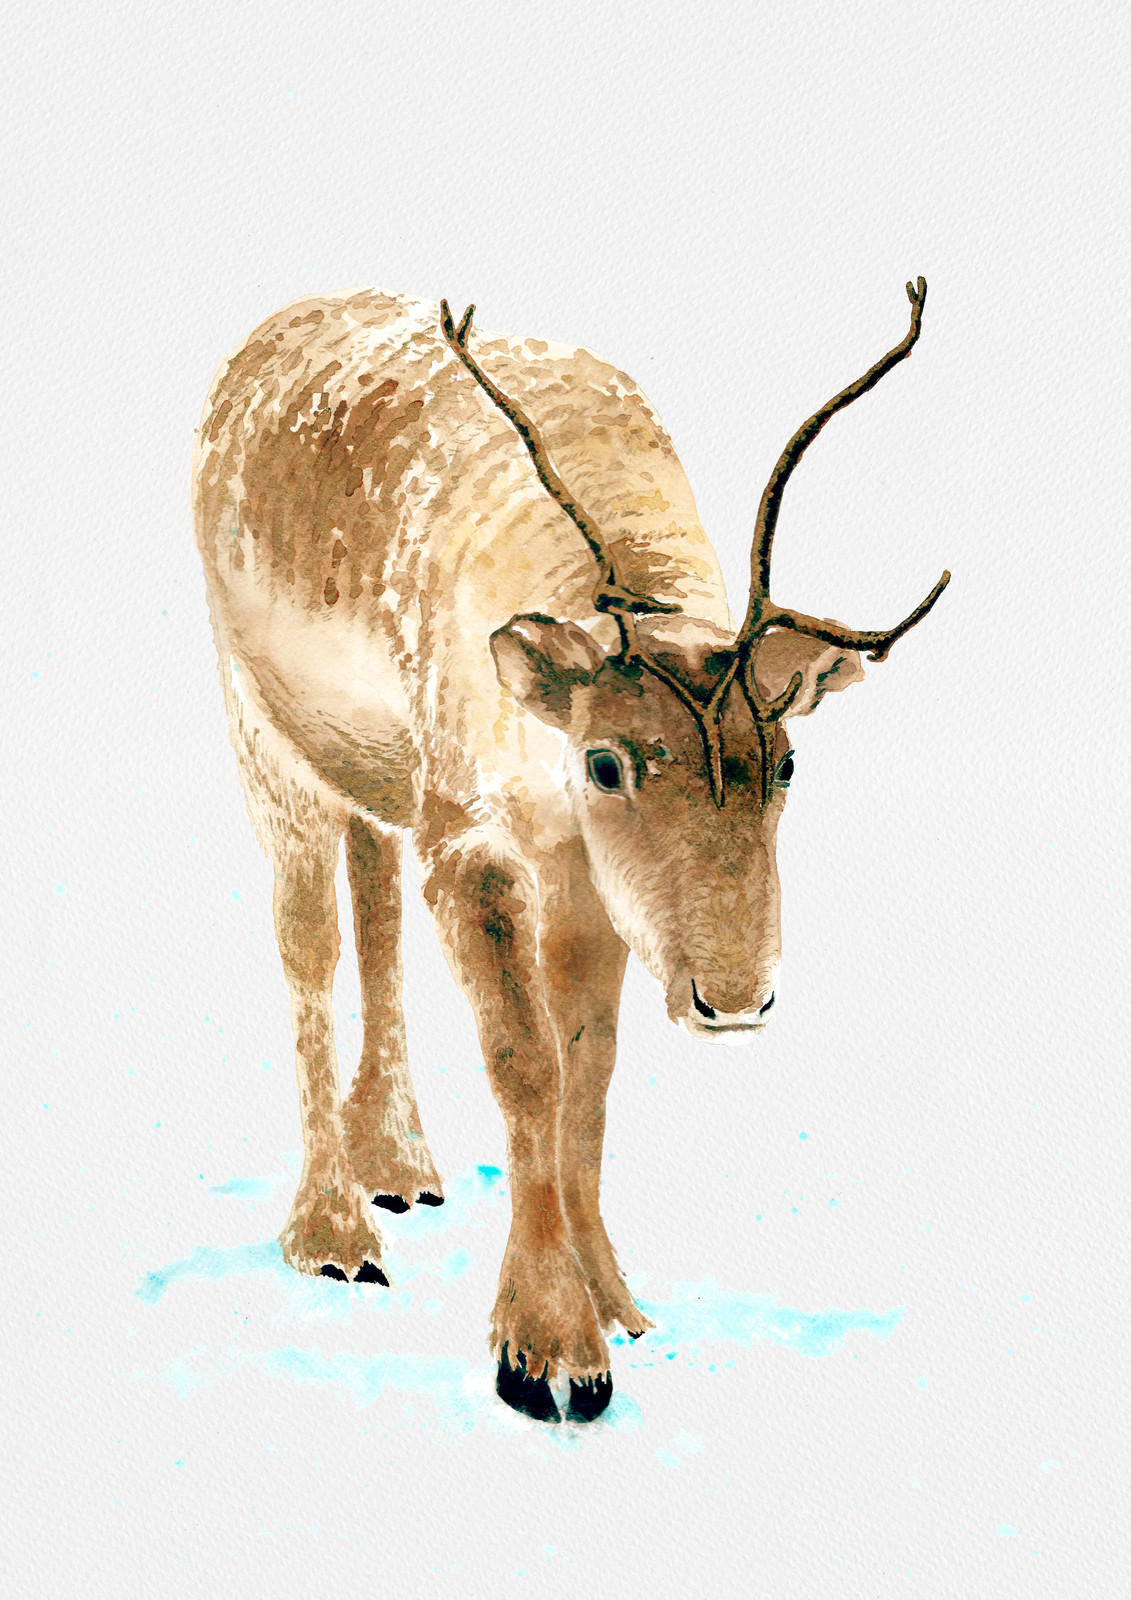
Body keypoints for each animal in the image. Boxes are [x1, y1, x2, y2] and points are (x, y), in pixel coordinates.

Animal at [192, 277, 948, 1424]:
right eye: (603, 762)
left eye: (786, 762)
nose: (737, 998)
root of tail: (265, 335)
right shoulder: (470, 837)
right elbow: (526, 1065)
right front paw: (545, 1351)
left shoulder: (586, 883)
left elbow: (588, 1074)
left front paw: (616, 1301)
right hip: (261, 724)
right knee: (308, 941)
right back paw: (331, 1229)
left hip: (374, 769)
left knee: (376, 900)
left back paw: (398, 1163)